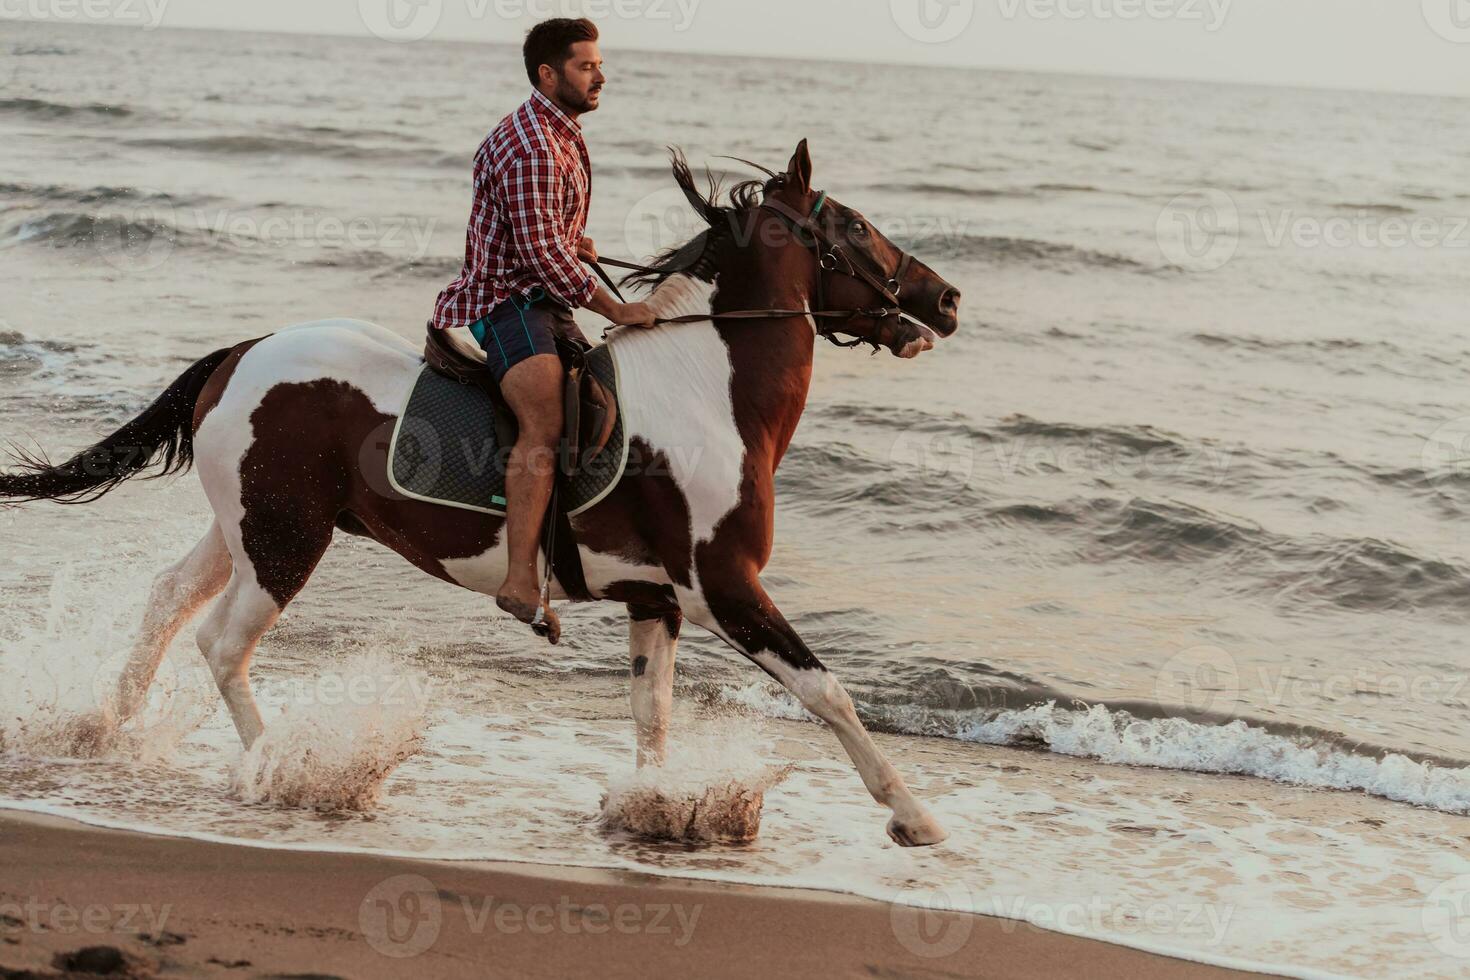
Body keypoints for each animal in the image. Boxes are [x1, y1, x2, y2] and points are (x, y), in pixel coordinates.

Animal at [2, 141, 964, 846]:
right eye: (855, 226)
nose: (948, 300)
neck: (707, 389)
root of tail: (242, 354)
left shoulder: (656, 599)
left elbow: (651, 715)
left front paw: (647, 808)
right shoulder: (724, 587)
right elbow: (826, 692)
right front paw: (913, 816)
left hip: (242, 525)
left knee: (167, 600)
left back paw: (107, 727)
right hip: (285, 542)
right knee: (223, 644)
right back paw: (283, 767)